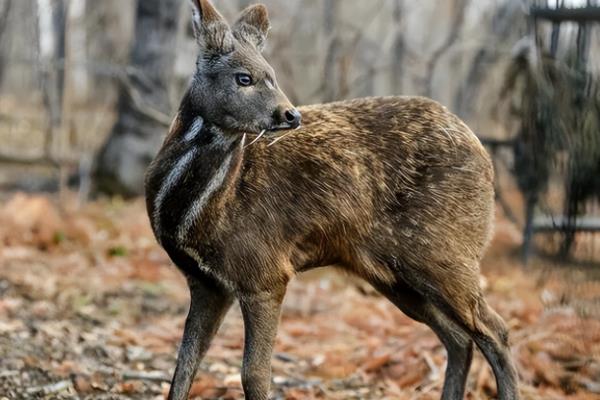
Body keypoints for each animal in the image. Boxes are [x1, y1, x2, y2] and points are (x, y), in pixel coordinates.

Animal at [144, 1, 520, 398]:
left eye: (271, 75)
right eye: (243, 77)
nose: (290, 114)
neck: (200, 213)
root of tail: (485, 157)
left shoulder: (265, 271)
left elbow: (254, 374)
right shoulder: (206, 283)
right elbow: (184, 365)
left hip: (445, 252)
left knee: (495, 331)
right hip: (394, 274)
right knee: (459, 338)